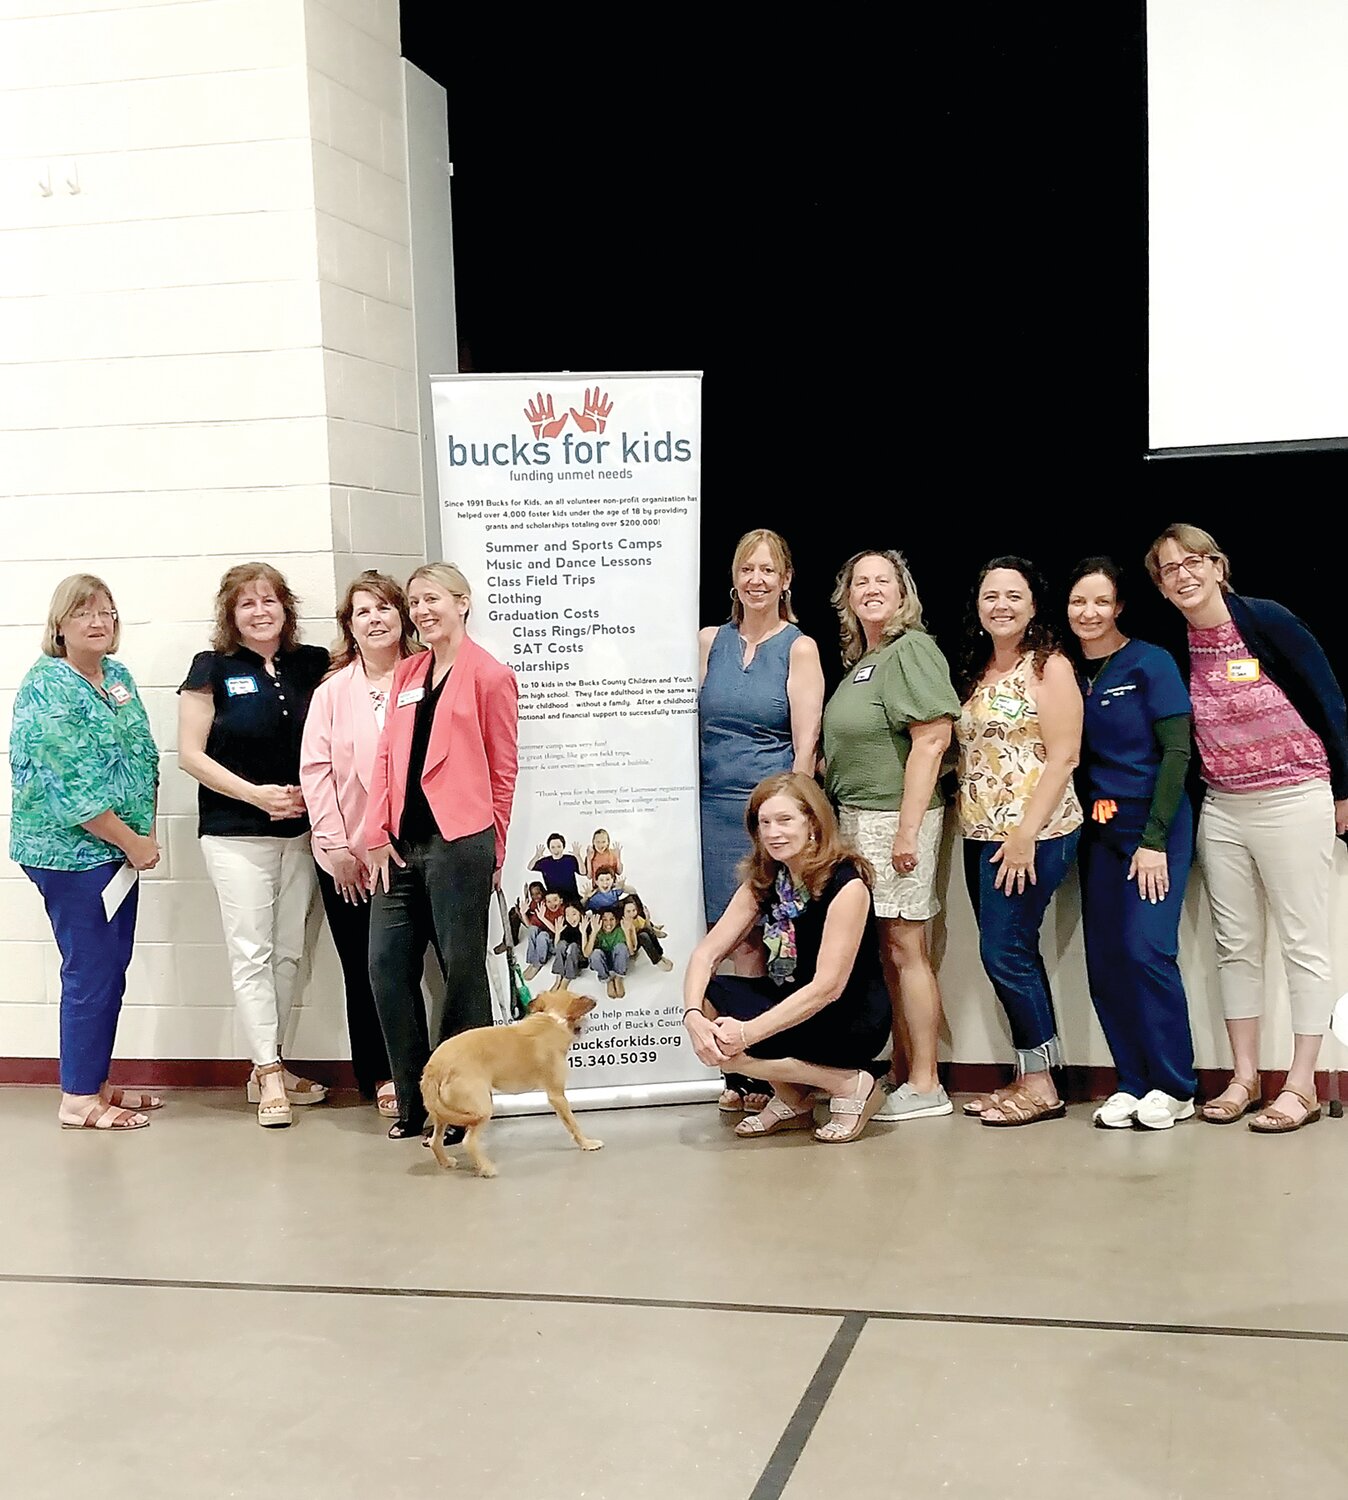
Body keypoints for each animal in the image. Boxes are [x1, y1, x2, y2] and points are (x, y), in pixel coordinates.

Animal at [422, 990, 605, 1176]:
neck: (552, 1018)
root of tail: (434, 1067)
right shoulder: (557, 1096)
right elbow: (573, 1124)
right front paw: (587, 1144)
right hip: (481, 1109)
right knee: (469, 1141)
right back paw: (486, 1169)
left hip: (442, 1115)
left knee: (435, 1141)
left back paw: (446, 1162)